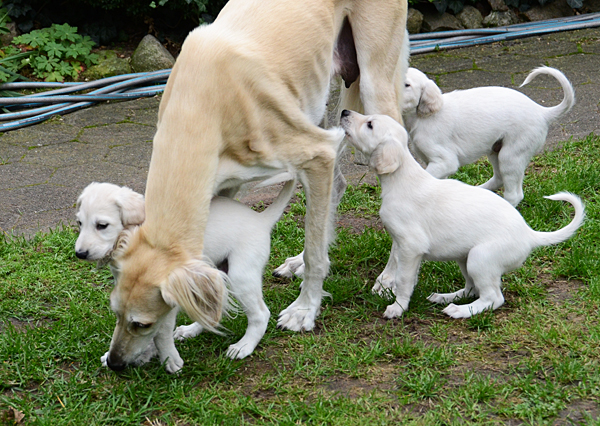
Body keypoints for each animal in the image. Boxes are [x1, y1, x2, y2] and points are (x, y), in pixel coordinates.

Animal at [76, 178, 296, 372]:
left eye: (102, 225)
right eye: (79, 223)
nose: (79, 253)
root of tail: (261, 219)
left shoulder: (166, 297)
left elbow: (159, 331)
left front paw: (167, 357)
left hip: (240, 276)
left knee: (260, 314)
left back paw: (244, 345)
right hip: (212, 275)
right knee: (211, 312)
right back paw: (191, 330)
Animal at [105, 0, 410, 372]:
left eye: (141, 323)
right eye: (116, 313)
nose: (115, 363)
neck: (200, 102)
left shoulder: (317, 153)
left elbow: (316, 256)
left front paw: (304, 311)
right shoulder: (220, 187)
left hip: (374, 88)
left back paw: (390, 275)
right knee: (336, 188)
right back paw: (297, 261)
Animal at [340, 110, 584, 320]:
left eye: (370, 124)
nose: (344, 112)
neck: (401, 178)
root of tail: (529, 234)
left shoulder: (411, 246)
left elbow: (404, 279)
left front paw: (397, 307)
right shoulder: (403, 245)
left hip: (480, 258)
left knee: (493, 298)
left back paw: (460, 311)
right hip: (463, 258)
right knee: (472, 289)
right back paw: (445, 297)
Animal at [400, 65, 576, 207]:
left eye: (407, 84)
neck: (421, 118)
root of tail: (542, 112)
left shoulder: (445, 161)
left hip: (511, 155)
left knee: (514, 195)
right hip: (495, 151)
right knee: (498, 179)